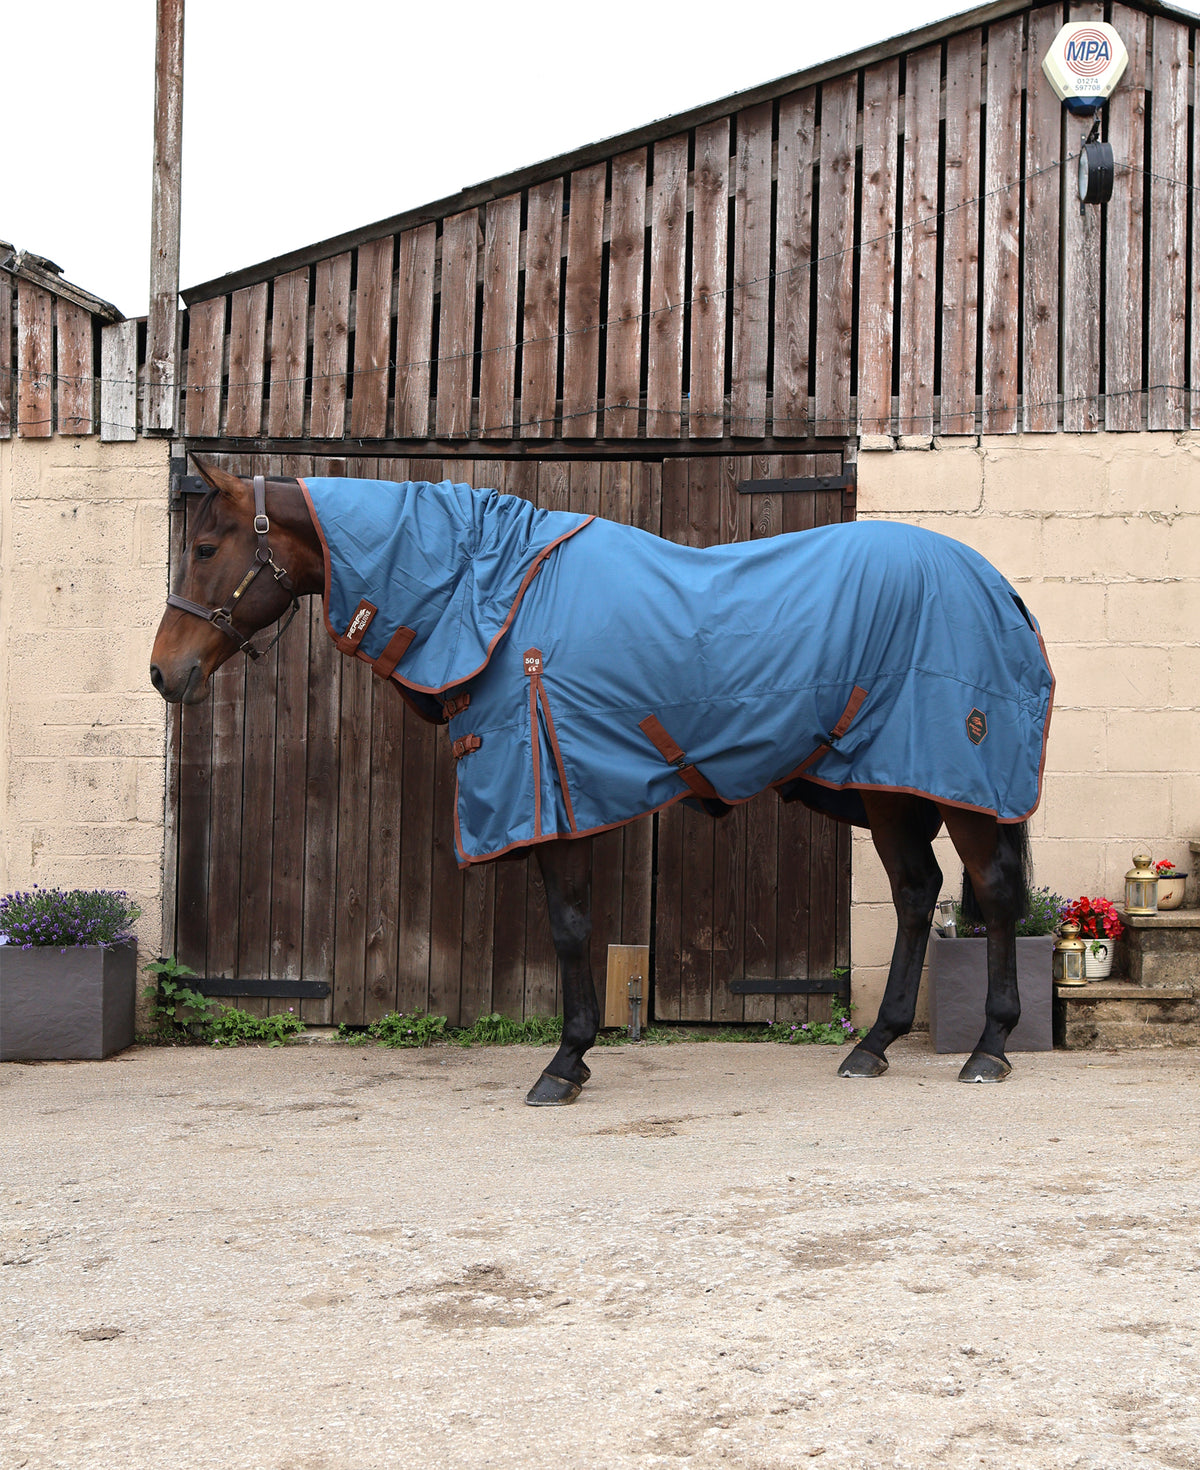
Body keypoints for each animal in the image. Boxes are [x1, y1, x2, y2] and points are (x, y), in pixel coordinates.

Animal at [150, 463, 1052, 1105]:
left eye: (204, 549)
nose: (164, 673)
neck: (498, 600)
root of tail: (999, 586)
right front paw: (575, 1057)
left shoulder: (549, 793)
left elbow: (570, 926)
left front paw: (565, 1061)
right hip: (891, 786)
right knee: (916, 893)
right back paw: (874, 1047)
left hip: (956, 781)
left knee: (994, 893)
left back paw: (990, 1048)